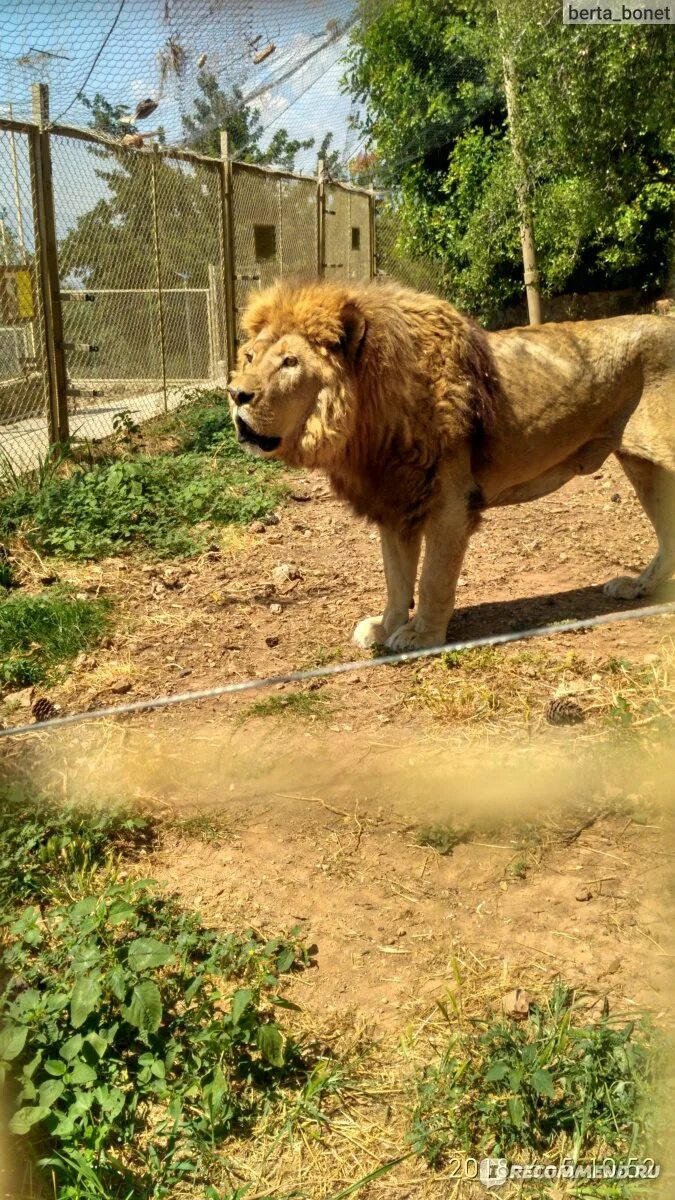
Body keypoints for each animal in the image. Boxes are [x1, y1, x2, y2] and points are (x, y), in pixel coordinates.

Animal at [227, 277, 672, 652]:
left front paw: (421, 636)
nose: (235, 394)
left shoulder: (449, 505)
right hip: (642, 466)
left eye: (290, 362)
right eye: (248, 357)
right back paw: (638, 587)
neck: (367, 421)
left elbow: (432, 579)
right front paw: (385, 627)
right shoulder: (395, 499)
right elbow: (396, 578)